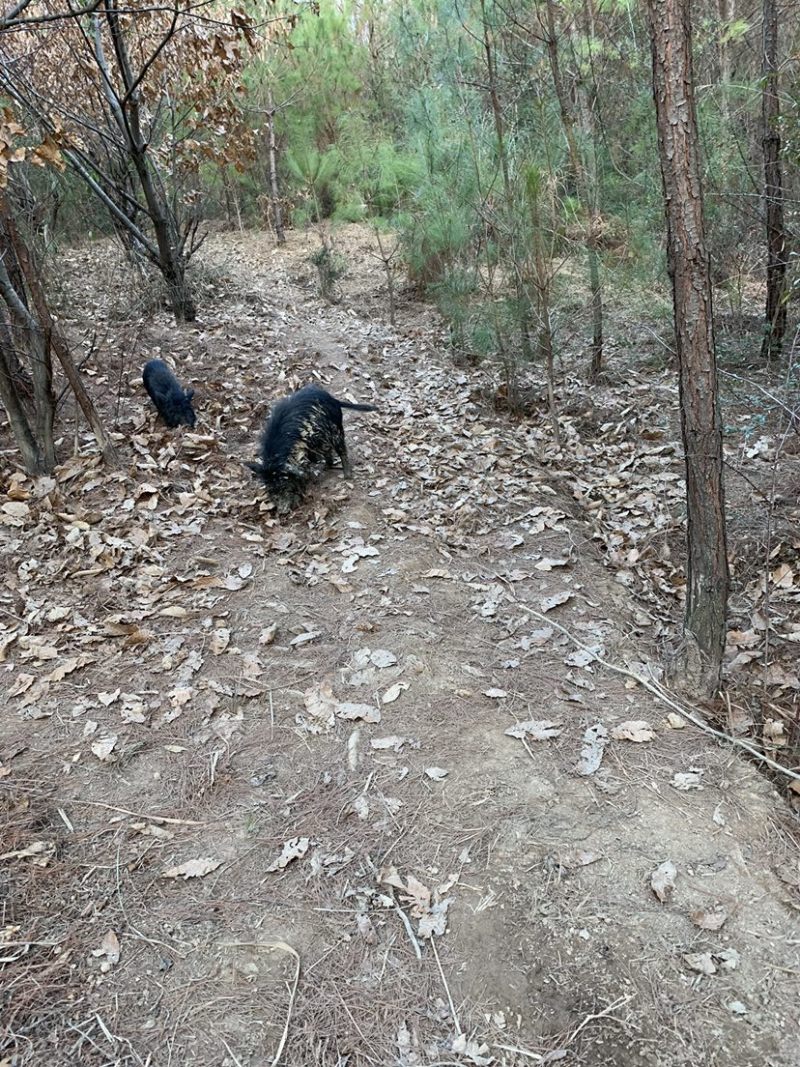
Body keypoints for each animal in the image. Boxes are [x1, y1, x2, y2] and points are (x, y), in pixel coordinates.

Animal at [246, 384, 377, 512]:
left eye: (284, 485)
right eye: (270, 489)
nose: (283, 511)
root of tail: (333, 400)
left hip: (336, 430)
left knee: (341, 449)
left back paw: (347, 476)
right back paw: (326, 466)